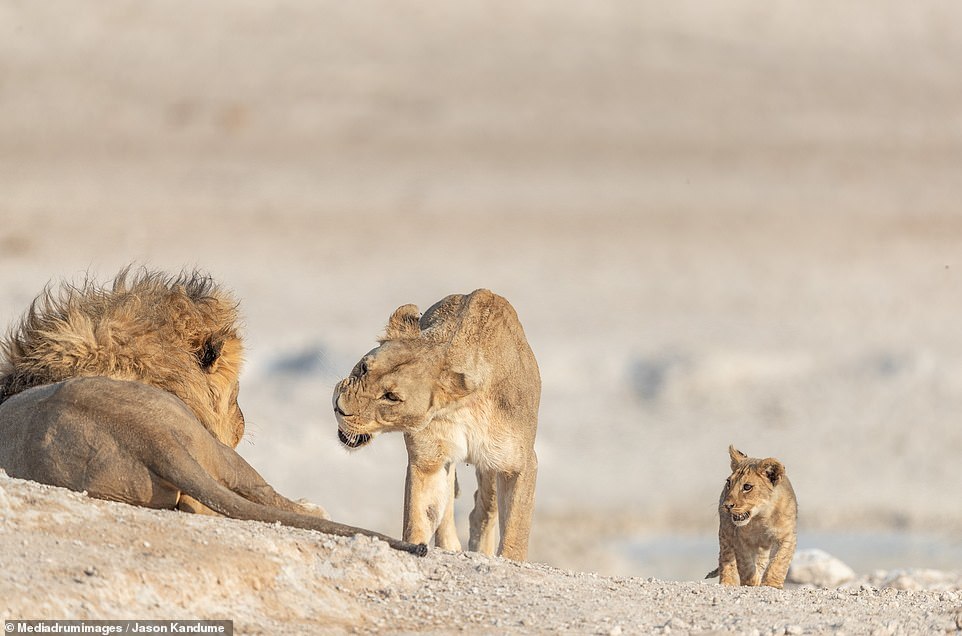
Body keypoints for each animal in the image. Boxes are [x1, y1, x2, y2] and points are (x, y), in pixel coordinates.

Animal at [334, 290, 536, 560]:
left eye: (391, 397)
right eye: (364, 367)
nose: (339, 407)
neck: (463, 407)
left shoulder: (519, 464)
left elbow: (516, 527)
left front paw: (509, 558)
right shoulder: (428, 459)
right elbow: (421, 513)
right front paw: (415, 547)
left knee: (484, 509)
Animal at [704, 444, 796, 588]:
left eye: (747, 487)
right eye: (729, 483)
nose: (726, 505)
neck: (761, 517)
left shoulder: (787, 536)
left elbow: (779, 561)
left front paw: (771, 584)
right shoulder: (739, 539)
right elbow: (745, 565)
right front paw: (751, 582)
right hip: (726, 532)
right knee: (726, 557)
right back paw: (728, 582)